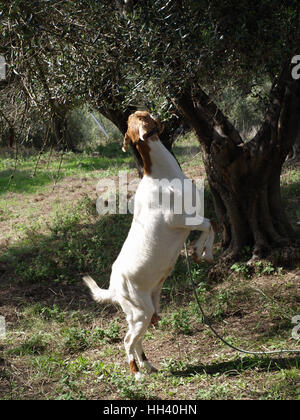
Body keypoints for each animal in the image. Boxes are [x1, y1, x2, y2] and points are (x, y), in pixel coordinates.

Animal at [83, 110, 214, 378]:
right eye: (144, 115)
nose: (166, 114)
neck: (162, 174)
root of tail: (114, 289)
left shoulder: (190, 221)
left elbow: (211, 225)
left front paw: (202, 252)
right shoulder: (182, 221)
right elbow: (210, 224)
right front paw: (201, 252)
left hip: (144, 312)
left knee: (137, 340)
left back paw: (148, 365)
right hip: (139, 312)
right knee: (127, 341)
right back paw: (136, 372)